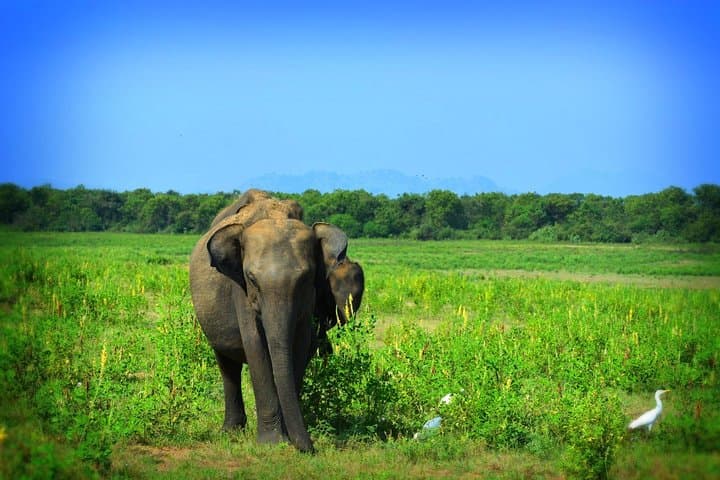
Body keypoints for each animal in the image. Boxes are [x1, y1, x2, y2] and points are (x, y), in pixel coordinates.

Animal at [189, 190, 364, 453]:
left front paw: (288, 437)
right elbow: (256, 346)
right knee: (227, 364)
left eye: (305, 278)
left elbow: (301, 345)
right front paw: (272, 443)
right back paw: (231, 431)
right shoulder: (240, 290)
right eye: (251, 278)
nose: (312, 448)